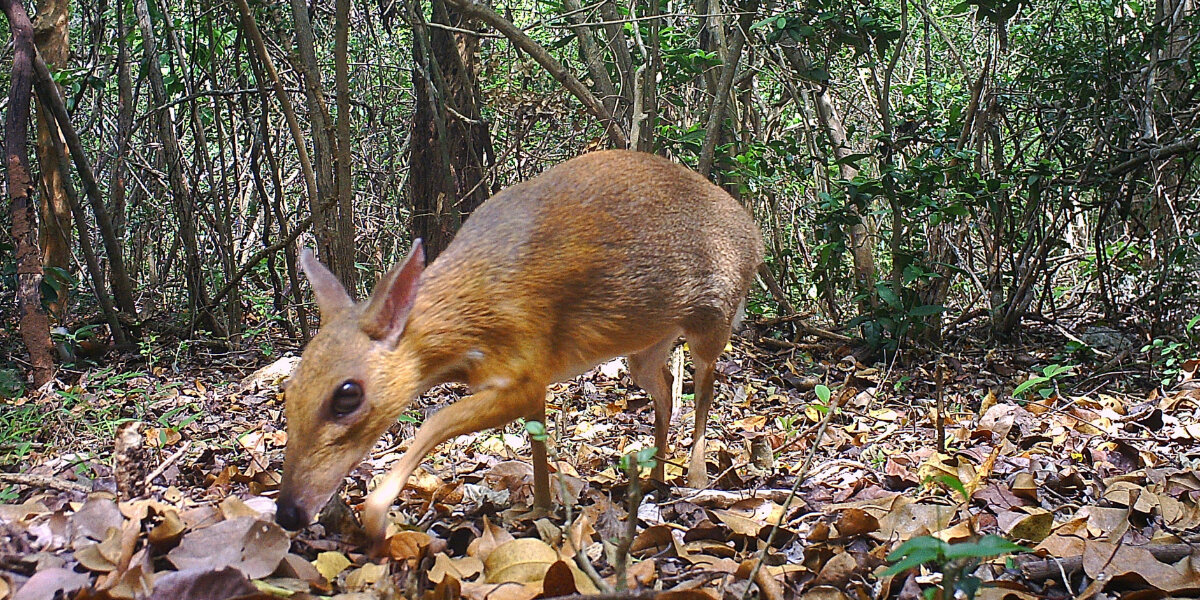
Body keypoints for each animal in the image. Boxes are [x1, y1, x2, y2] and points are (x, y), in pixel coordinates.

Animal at [274, 149, 764, 547]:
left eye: (347, 395)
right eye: (290, 389)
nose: (288, 512)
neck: (471, 315)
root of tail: (756, 235)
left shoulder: (525, 364)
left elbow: (435, 422)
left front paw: (376, 517)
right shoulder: (533, 377)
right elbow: (536, 437)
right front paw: (540, 508)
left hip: (713, 317)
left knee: (704, 389)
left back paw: (696, 477)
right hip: (645, 345)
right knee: (663, 388)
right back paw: (656, 477)